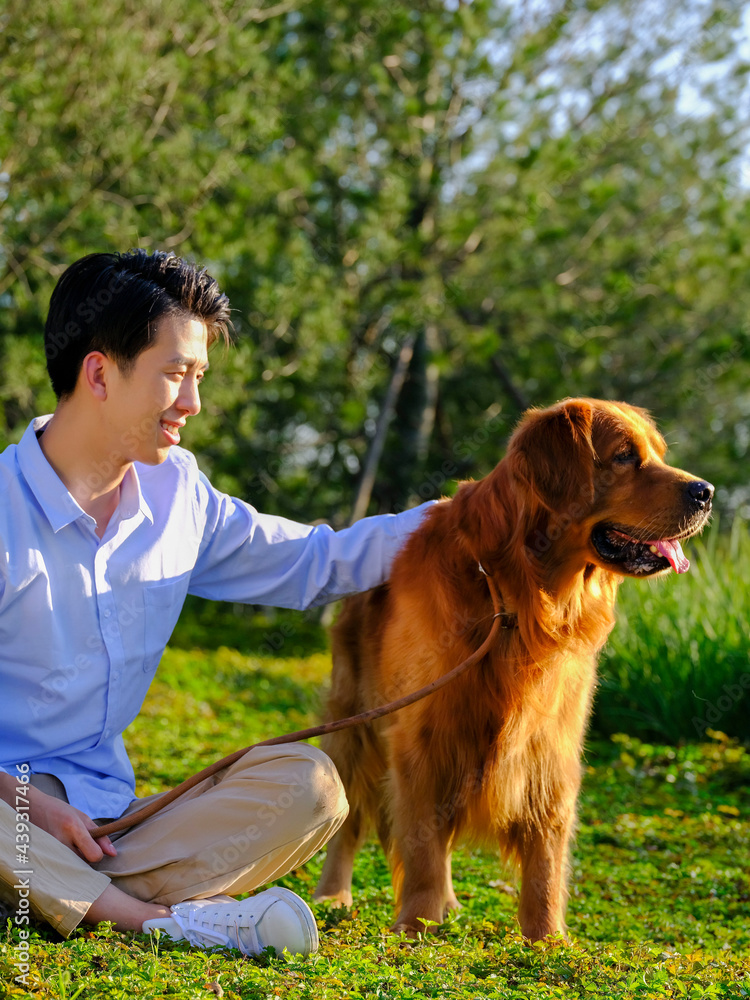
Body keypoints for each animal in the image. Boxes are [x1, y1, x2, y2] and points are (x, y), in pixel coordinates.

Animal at [312, 396, 716, 936]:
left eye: (657, 453)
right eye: (624, 456)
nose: (706, 492)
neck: (520, 598)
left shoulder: (550, 744)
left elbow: (545, 850)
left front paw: (547, 938)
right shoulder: (422, 735)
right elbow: (422, 840)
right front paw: (417, 926)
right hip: (355, 724)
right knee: (352, 818)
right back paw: (334, 895)